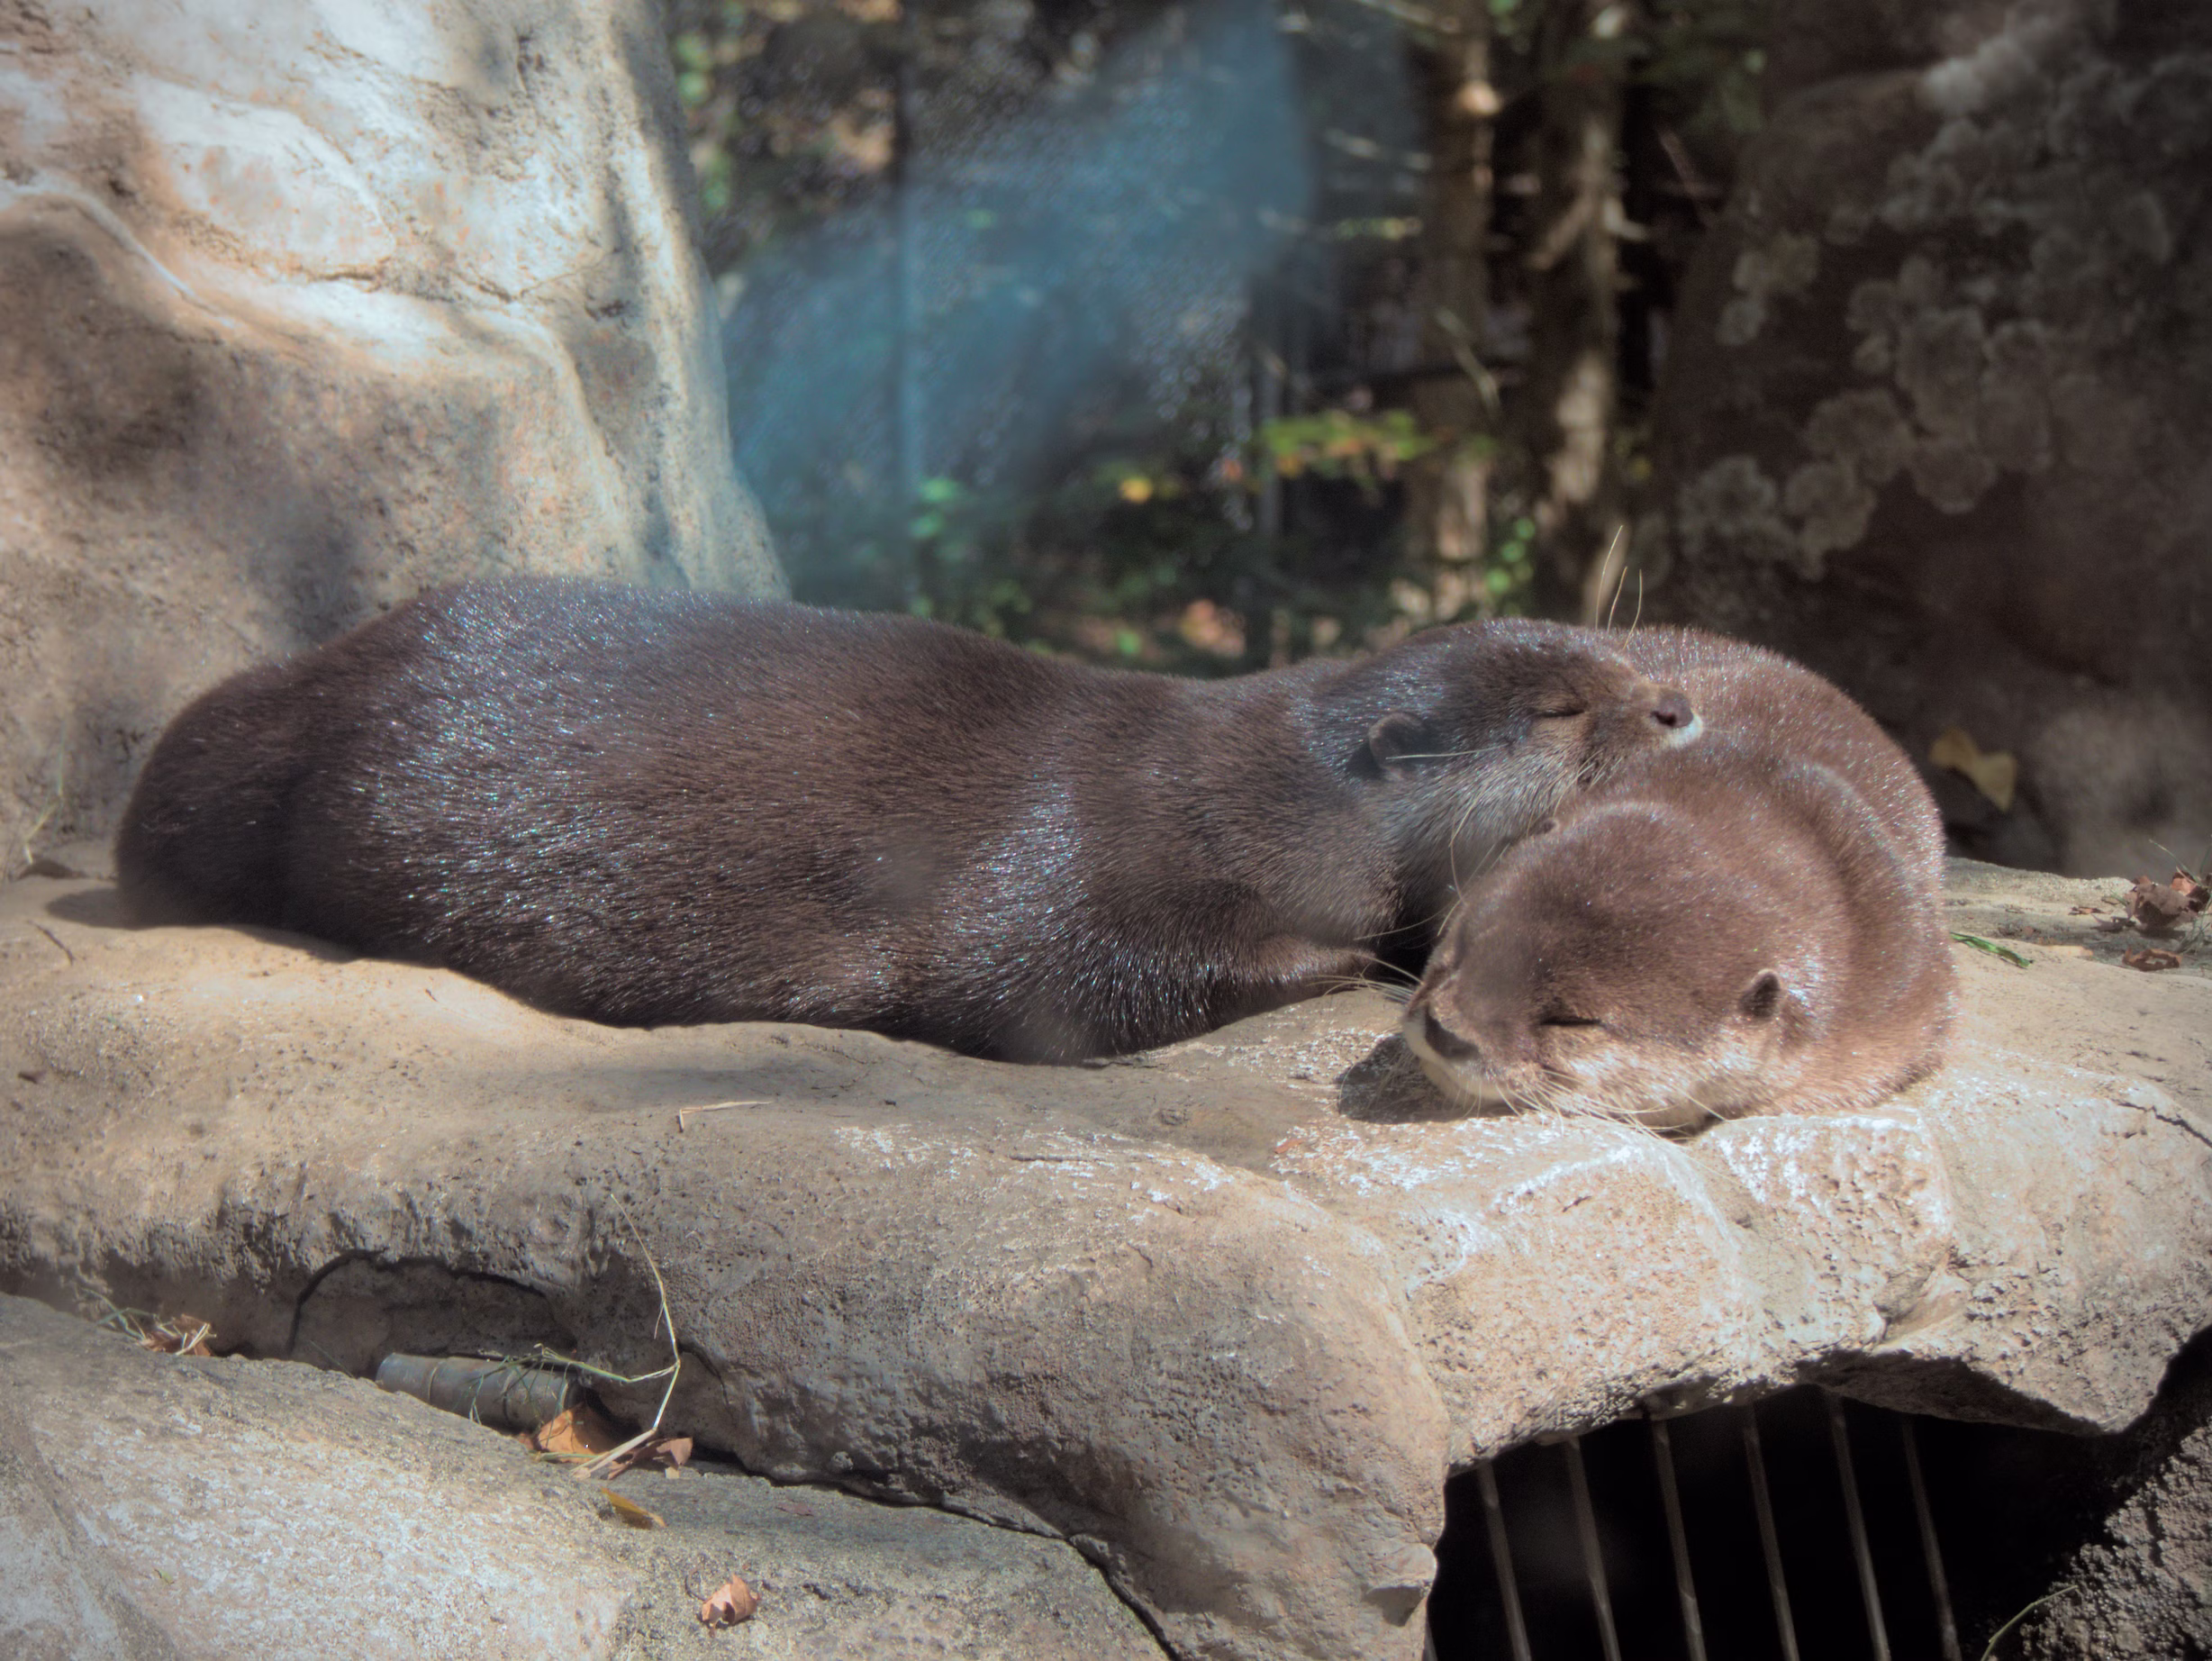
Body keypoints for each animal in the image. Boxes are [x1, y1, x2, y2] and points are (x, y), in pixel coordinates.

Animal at [118, 579, 1699, 1062]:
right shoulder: (1092, 849)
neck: (1264, 797)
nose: (1679, 706)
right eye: (1565, 707)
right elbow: (1045, 983)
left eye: (1610, 655)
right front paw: (1358, 963)